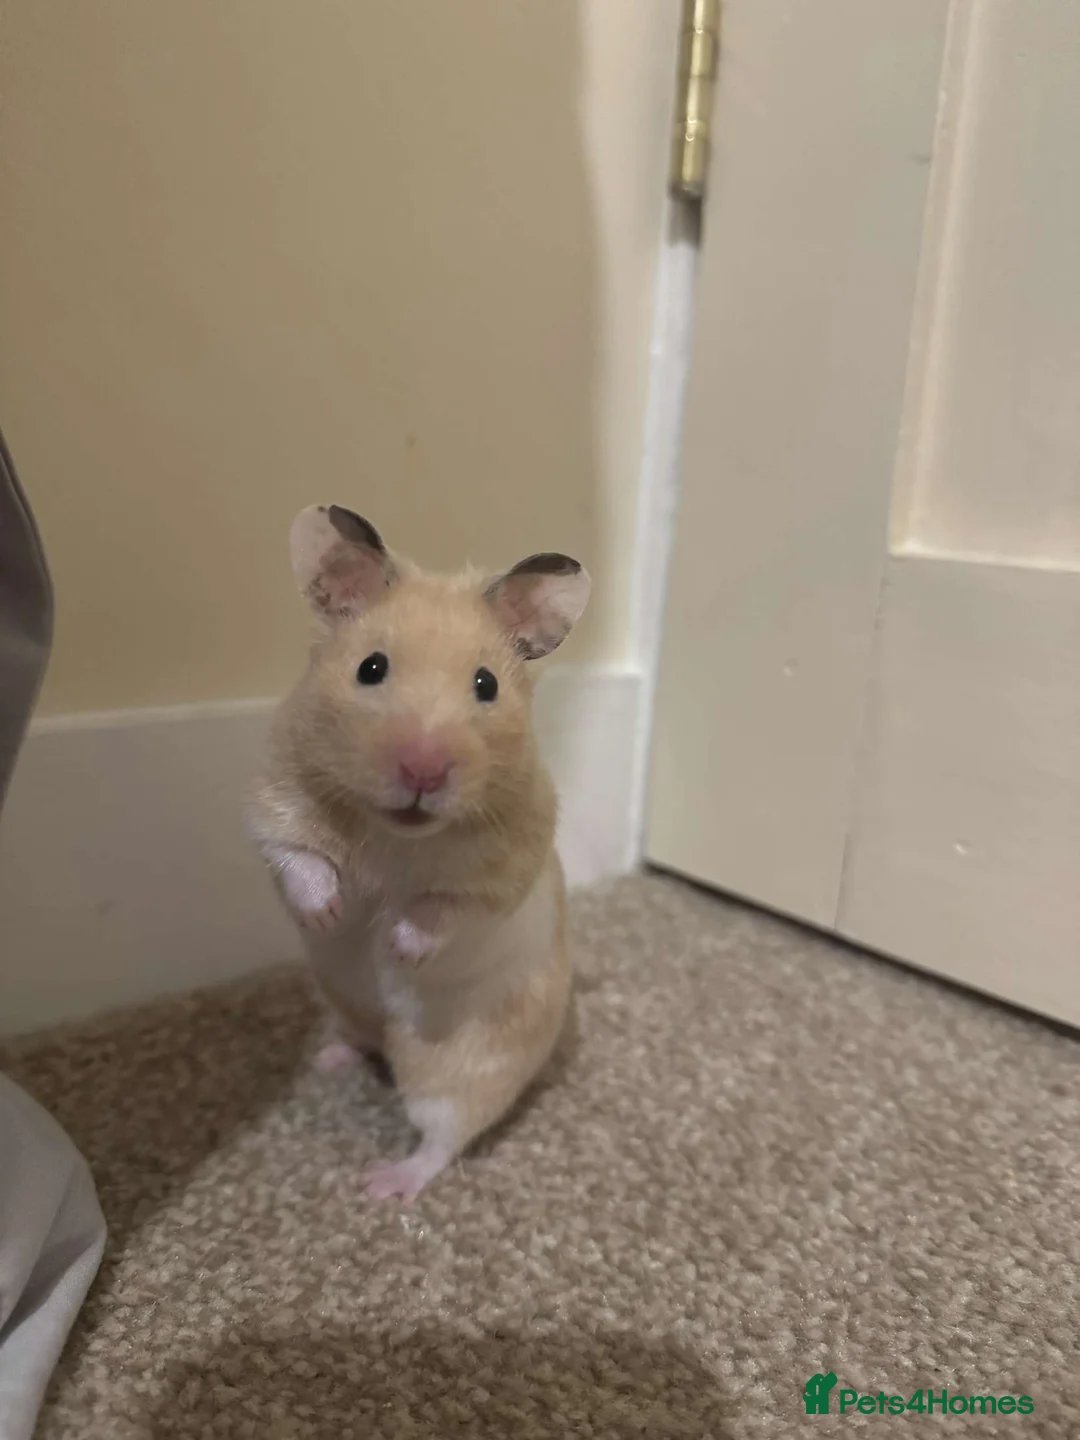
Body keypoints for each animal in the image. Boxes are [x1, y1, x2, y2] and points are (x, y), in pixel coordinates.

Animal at [246, 504, 591, 1202]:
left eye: (486, 684)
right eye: (370, 668)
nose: (424, 771)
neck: (395, 833)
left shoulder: (506, 868)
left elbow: (440, 910)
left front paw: (394, 944)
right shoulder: (277, 800)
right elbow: (302, 861)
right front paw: (330, 914)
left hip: (460, 1070)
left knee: (444, 1136)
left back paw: (382, 1185)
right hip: (342, 1001)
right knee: (363, 1044)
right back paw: (329, 1059)